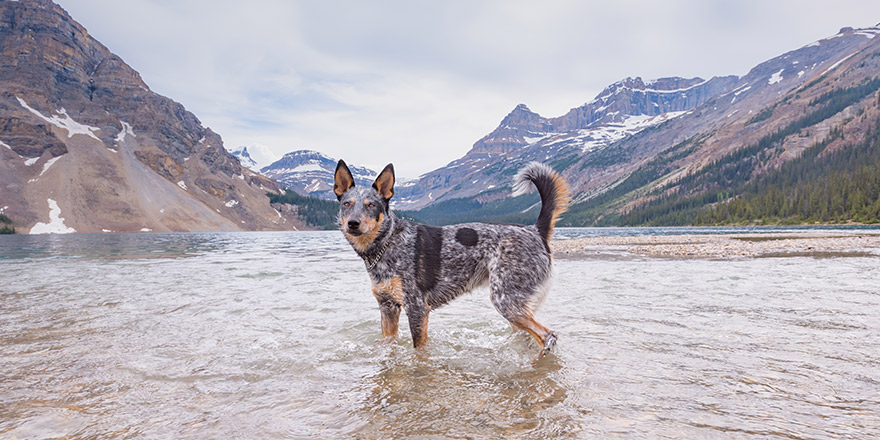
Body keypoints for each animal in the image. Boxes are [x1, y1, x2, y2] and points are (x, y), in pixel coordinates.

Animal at [332, 160, 572, 356]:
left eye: (371, 205)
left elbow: (419, 350)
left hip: (506, 301)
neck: (388, 242)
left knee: (548, 336)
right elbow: (388, 344)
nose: (352, 223)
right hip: (515, 308)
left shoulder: (417, 309)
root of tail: (536, 230)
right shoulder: (387, 308)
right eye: (346, 204)